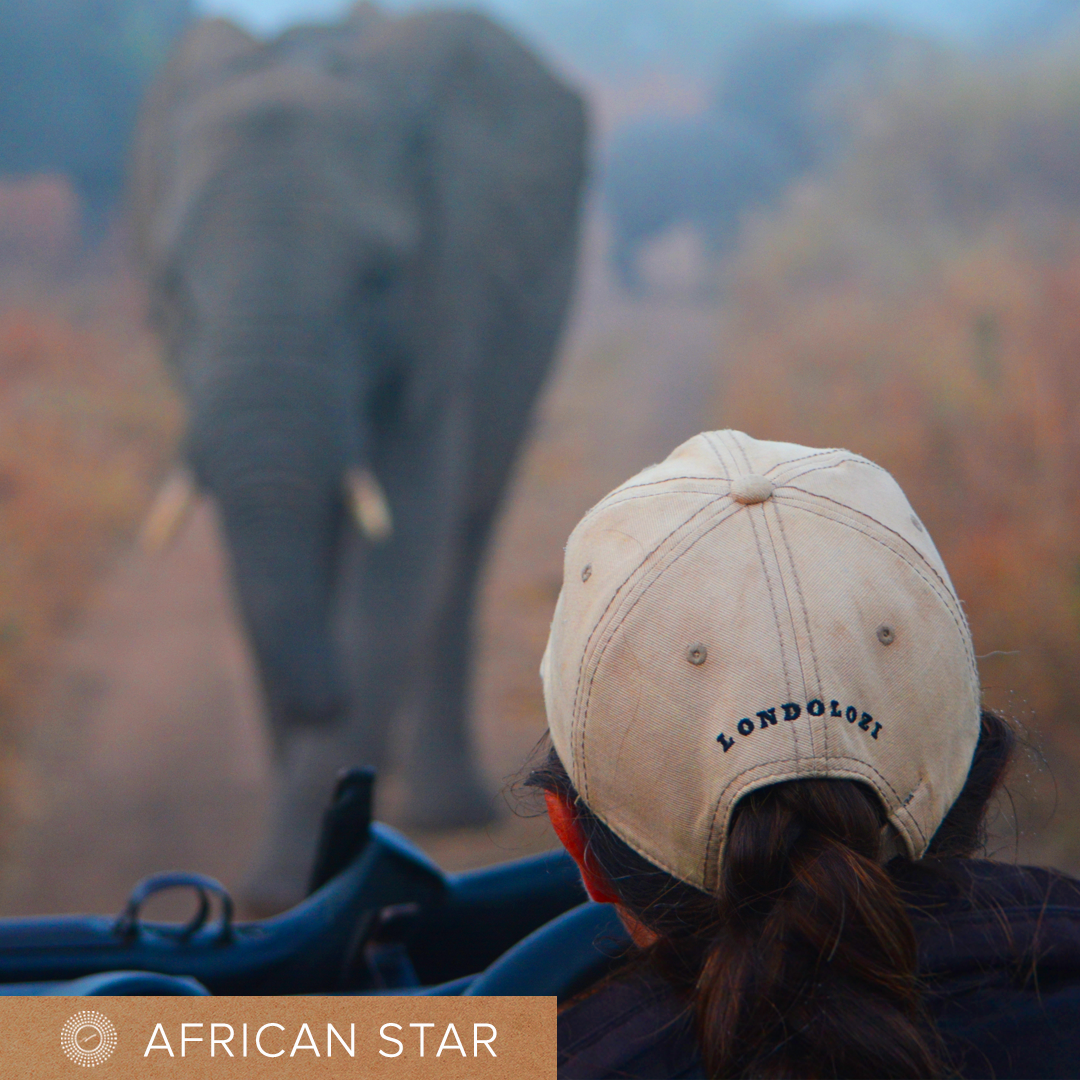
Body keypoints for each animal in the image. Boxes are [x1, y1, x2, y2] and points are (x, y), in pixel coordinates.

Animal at [132, 6, 591, 911]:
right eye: (172, 289)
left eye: (377, 279)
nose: (322, 702)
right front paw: (293, 879)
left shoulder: (448, 302)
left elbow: (398, 562)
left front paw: (293, 882)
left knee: (464, 537)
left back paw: (442, 806)